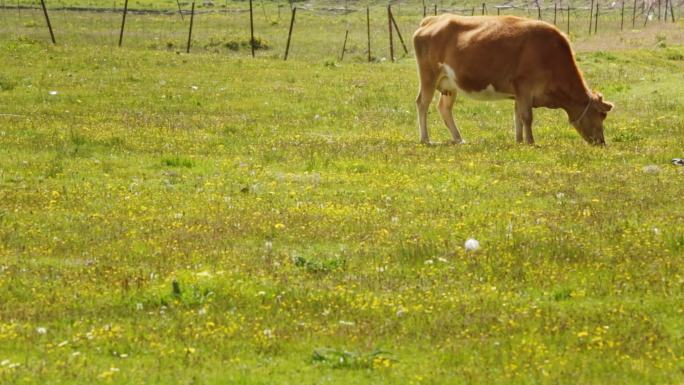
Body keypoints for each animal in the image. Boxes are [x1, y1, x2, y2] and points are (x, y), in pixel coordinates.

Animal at [412, 14, 616, 145]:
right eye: (602, 115)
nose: (601, 143)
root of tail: (432, 20)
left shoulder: (519, 93)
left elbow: (517, 115)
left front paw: (519, 141)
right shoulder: (524, 87)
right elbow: (527, 117)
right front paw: (531, 142)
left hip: (450, 84)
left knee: (444, 108)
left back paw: (458, 139)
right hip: (429, 76)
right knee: (422, 103)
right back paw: (426, 139)